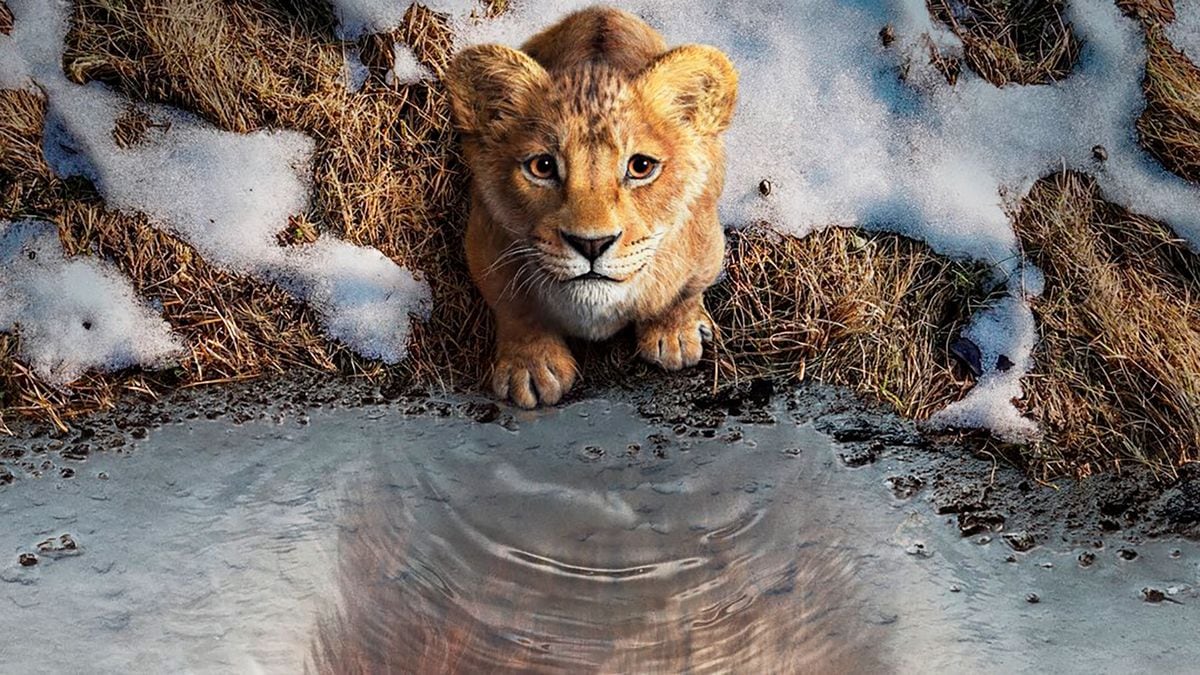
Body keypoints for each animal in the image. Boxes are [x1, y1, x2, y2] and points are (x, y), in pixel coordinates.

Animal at [445, 6, 738, 408]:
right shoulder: (485, 242)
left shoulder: (706, 243)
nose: (591, 244)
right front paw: (530, 368)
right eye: (542, 166)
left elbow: (684, 291)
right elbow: (515, 307)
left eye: (641, 166)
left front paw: (675, 335)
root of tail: (602, 10)